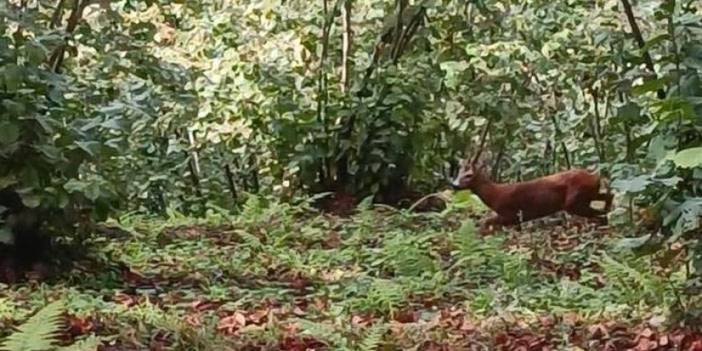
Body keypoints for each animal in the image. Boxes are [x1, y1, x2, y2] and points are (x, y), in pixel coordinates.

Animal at [454, 158, 612, 235]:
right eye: (459, 173)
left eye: (469, 175)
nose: (455, 184)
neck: (494, 195)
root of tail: (595, 176)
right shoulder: (516, 220)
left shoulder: (509, 214)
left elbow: (485, 222)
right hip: (588, 195)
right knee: (609, 196)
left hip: (574, 201)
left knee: (599, 213)